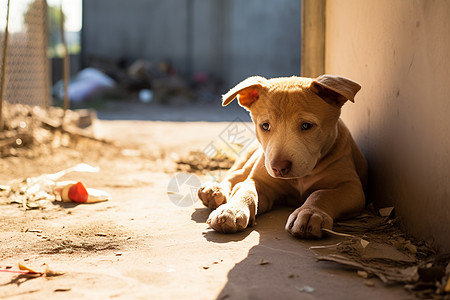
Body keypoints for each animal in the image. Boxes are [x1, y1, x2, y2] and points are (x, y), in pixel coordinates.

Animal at [199, 75, 368, 239]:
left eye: (306, 125)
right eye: (265, 126)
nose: (279, 167)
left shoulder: (352, 188)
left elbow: (322, 193)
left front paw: (310, 213)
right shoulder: (259, 181)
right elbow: (245, 189)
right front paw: (231, 210)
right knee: (235, 174)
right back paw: (214, 190)